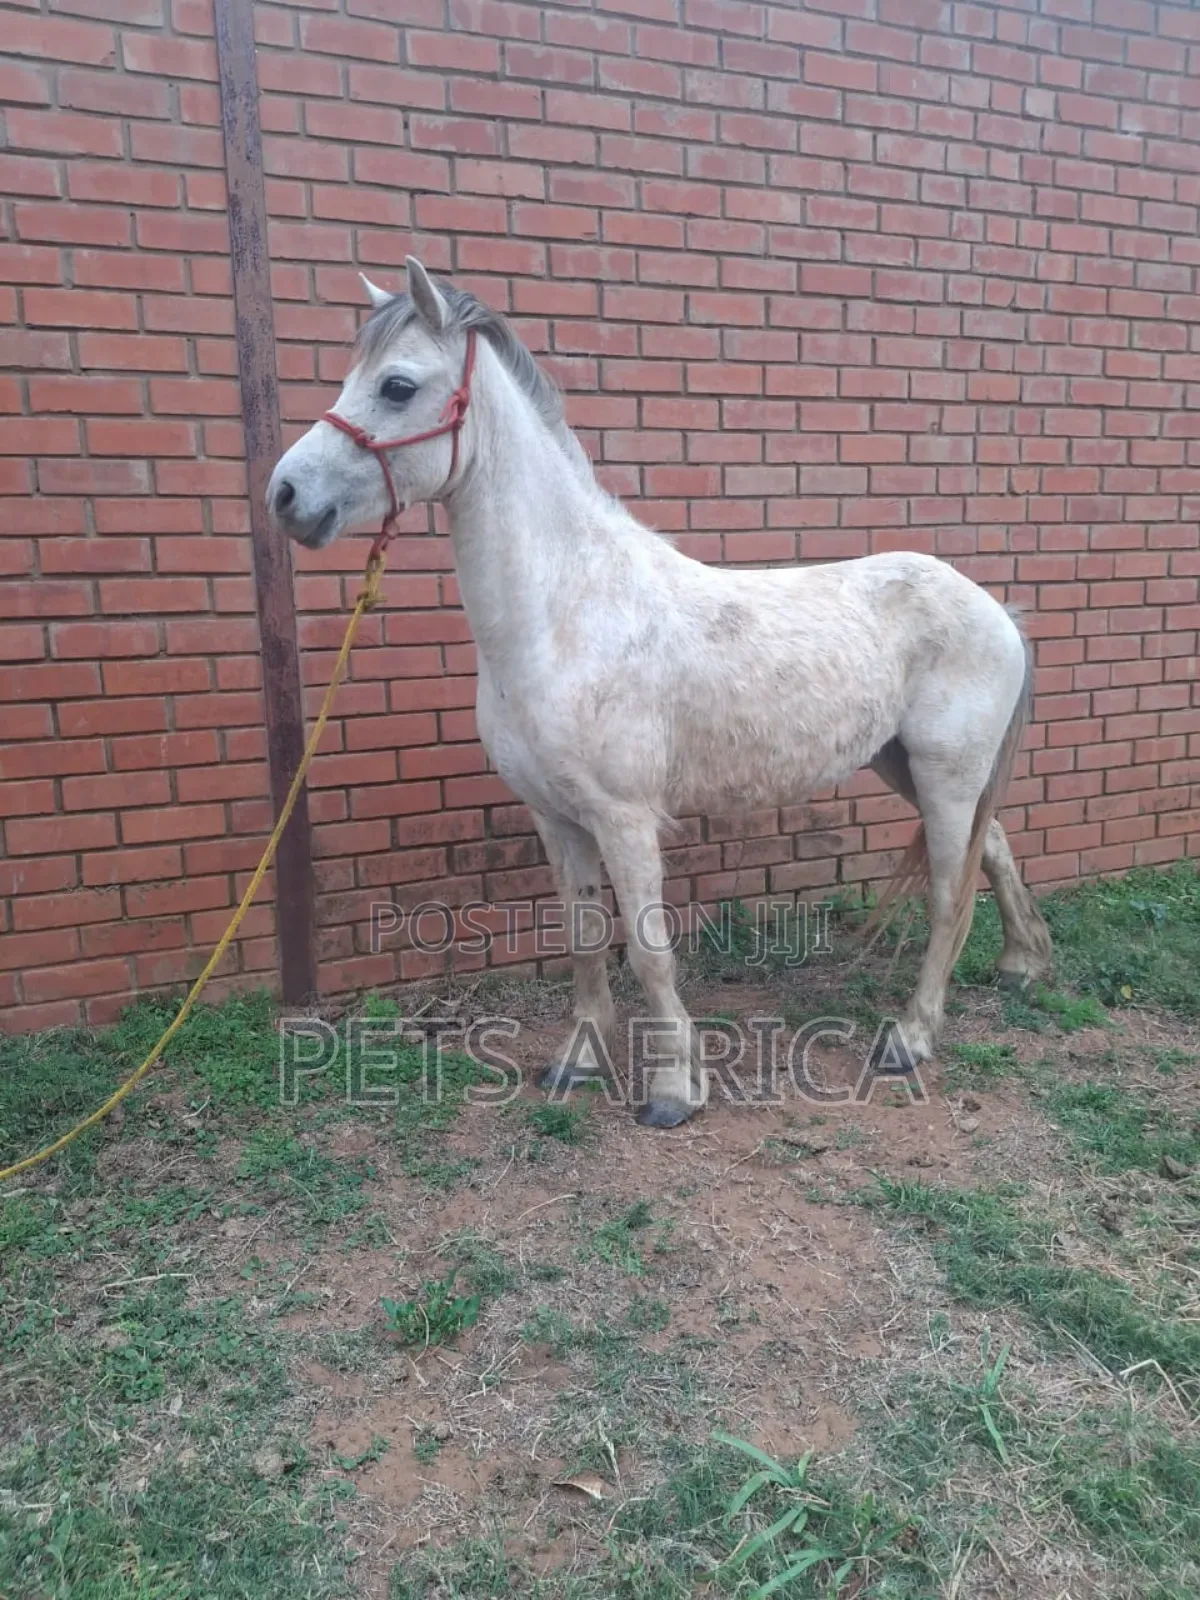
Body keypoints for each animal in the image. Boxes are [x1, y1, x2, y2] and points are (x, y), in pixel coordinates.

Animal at [268, 257, 1053, 1128]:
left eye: (398, 386)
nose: (286, 496)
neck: (566, 612)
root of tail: (996, 610)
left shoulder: (625, 819)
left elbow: (647, 950)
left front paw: (676, 1089)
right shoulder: (555, 817)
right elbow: (582, 937)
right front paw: (577, 1061)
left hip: (946, 775)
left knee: (950, 895)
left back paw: (909, 1038)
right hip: (906, 765)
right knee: (996, 847)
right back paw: (1021, 967)